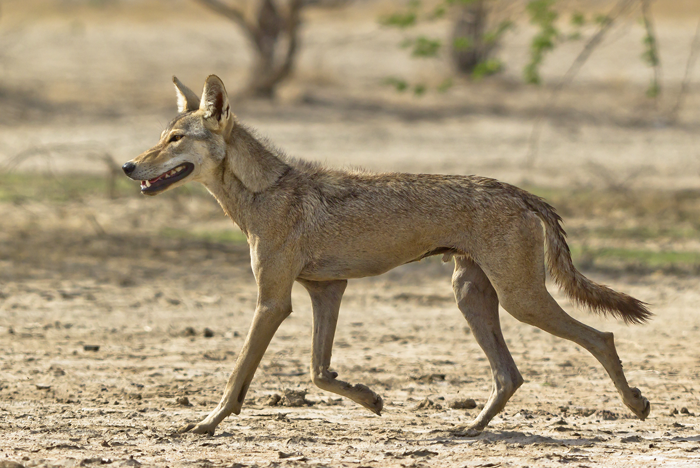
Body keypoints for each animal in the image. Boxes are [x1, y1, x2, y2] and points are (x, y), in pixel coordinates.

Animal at [120, 75, 652, 436]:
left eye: (175, 139)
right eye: (162, 136)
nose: (127, 165)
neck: (262, 192)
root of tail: (519, 192)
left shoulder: (272, 302)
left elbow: (237, 377)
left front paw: (206, 423)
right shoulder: (327, 291)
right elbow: (319, 373)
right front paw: (371, 398)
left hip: (521, 300)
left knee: (600, 337)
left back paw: (636, 404)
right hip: (472, 296)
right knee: (510, 375)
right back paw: (470, 429)